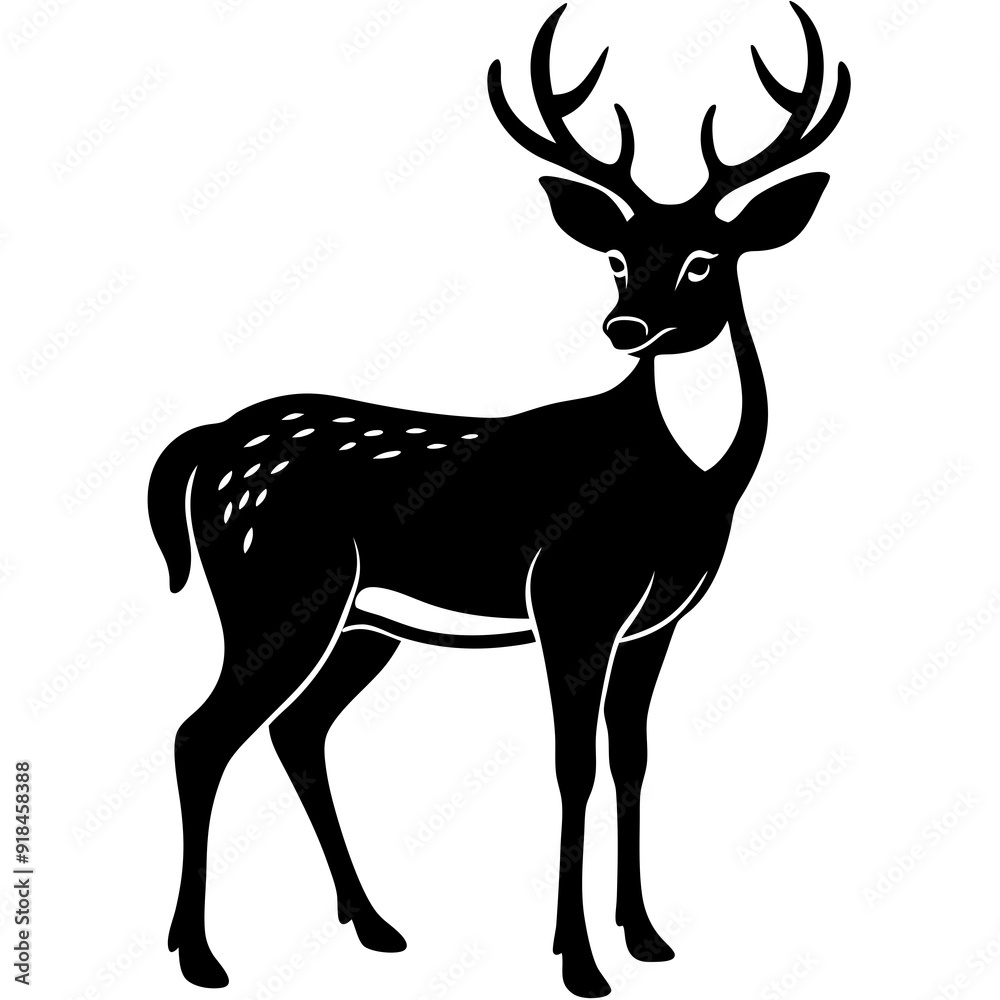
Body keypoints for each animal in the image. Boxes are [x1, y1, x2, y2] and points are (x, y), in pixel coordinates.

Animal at [149, 4, 849, 995]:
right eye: (615, 257)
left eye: (707, 259)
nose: (626, 327)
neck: (693, 485)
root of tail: (207, 444)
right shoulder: (572, 595)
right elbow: (573, 767)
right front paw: (579, 961)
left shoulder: (659, 618)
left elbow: (631, 759)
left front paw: (647, 938)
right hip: (274, 588)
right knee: (200, 734)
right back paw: (201, 955)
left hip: (363, 621)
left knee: (297, 732)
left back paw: (373, 925)